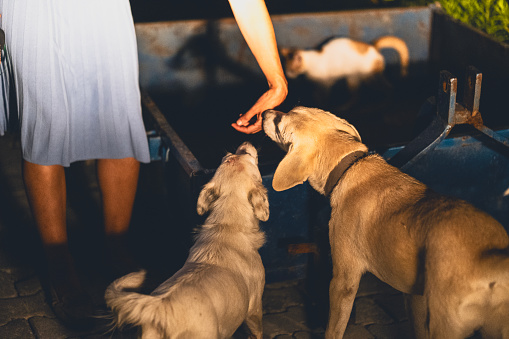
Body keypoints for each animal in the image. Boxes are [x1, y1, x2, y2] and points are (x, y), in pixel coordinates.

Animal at [104, 142, 270, 338]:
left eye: (229, 157)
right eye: (247, 155)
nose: (244, 143)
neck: (227, 224)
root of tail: (159, 307)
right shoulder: (254, 309)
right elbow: (257, 331)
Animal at [262, 107, 508, 339]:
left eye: (279, 124)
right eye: (290, 110)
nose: (264, 112)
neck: (348, 167)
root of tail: (491, 260)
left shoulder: (343, 279)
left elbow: (333, 329)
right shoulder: (414, 296)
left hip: (444, 324)